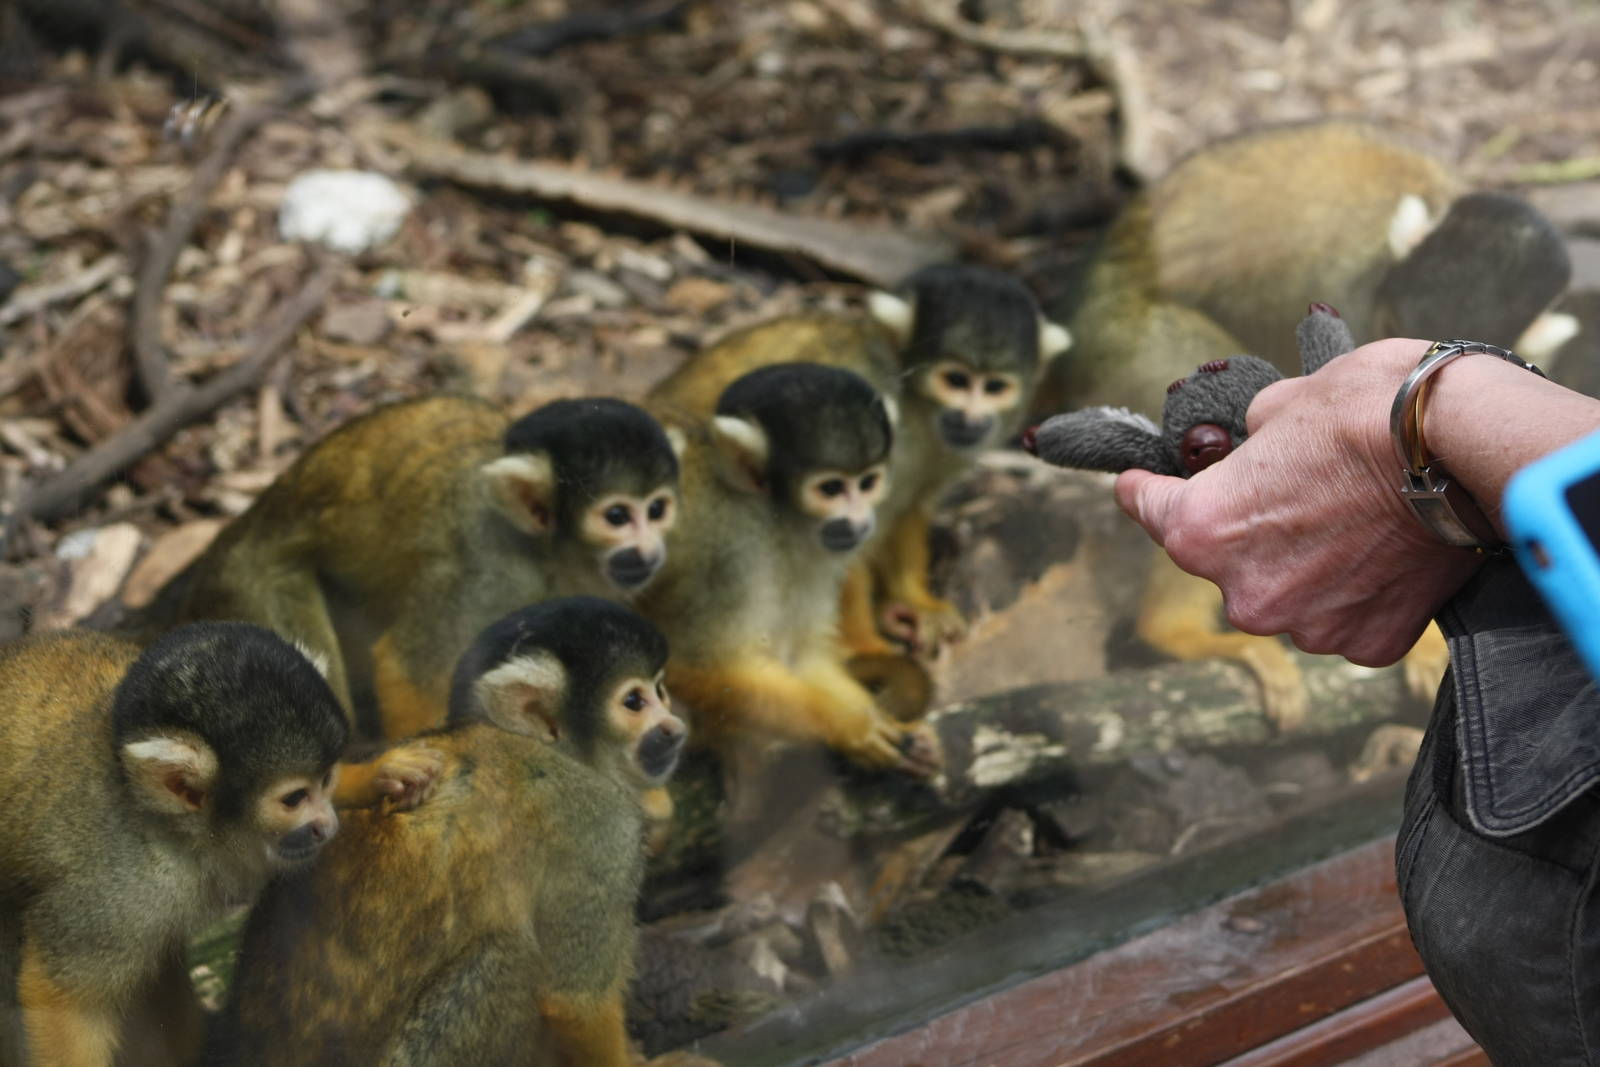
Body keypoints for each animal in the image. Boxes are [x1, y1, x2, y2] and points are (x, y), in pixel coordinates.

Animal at [137, 395, 682, 767]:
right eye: (617, 516)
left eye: (657, 509)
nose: (649, 551)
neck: (540, 546)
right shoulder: (487, 568)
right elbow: (409, 672)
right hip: (250, 581)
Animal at [213, 598, 717, 1067]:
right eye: (634, 702)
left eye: (661, 689)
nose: (673, 727)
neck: (549, 749)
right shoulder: (600, 829)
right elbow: (575, 1002)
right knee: (508, 958)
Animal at [638, 363, 939, 777]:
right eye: (831, 488)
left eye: (868, 482)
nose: (862, 522)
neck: (770, 519)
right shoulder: (724, 558)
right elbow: (689, 665)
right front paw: (851, 727)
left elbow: (806, 656)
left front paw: (875, 720)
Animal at [650, 264, 1071, 660]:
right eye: (955, 380)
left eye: (995, 386)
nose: (971, 417)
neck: (915, 407)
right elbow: (849, 541)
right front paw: (865, 645)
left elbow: (909, 508)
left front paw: (915, 602)